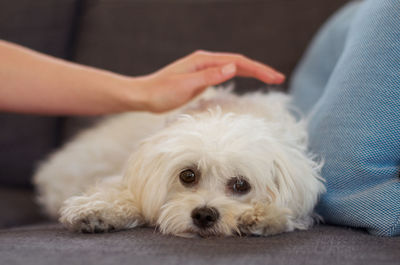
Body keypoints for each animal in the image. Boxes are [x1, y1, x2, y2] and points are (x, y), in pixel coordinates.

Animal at [32, 87, 324, 236]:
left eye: (241, 185)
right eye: (188, 175)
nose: (204, 215)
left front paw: (261, 216)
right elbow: (123, 194)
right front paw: (96, 210)